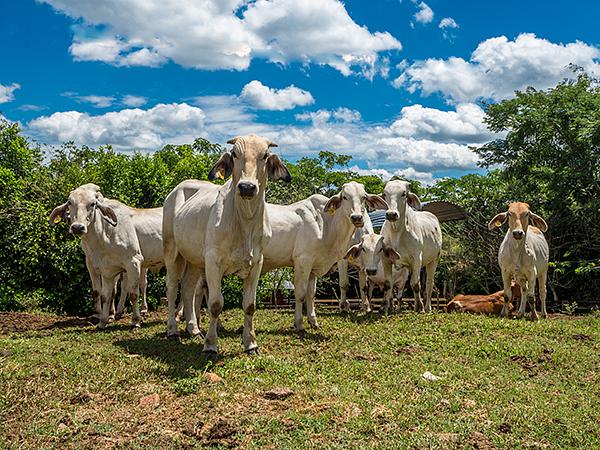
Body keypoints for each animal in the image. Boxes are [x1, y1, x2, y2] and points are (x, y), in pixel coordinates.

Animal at [50, 185, 163, 328]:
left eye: (93, 204)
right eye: (70, 202)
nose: (77, 227)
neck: (106, 233)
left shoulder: (134, 262)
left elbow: (133, 293)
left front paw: (135, 321)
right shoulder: (103, 268)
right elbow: (104, 295)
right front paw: (102, 320)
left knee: (144, 285)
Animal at [162, 134, 288, 358]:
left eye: (265, 155)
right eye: (235, 154)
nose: (247, 187)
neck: (244, 220)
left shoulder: (257, 263)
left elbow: (249, 305)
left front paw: (251, 344)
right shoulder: (213, 261)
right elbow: (215, 304)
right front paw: (211, 346)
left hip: (194, 259)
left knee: (187, 289)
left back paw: (194, 329)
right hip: (172, 251)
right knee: (172, 288)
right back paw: (173, 331)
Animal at [262, 181, 390, 332]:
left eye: (364, 197)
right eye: (344, 197)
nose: (357, 217)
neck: (326, 223)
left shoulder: (313, 267)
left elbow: (311, 294)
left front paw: (313, 321)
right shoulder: (303, 261)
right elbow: (301, 293)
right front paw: (299, 323)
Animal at [382, 179, 442, 312]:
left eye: (404, 194)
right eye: (384, 194)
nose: (391, 214)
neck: (396, 231)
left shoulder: (417, 258)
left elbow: (415, 284)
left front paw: (421, 307)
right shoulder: (386, 258)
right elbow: (388, 284)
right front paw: (387, 308)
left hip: (434, 260)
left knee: (429, 284)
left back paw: (427, 307)